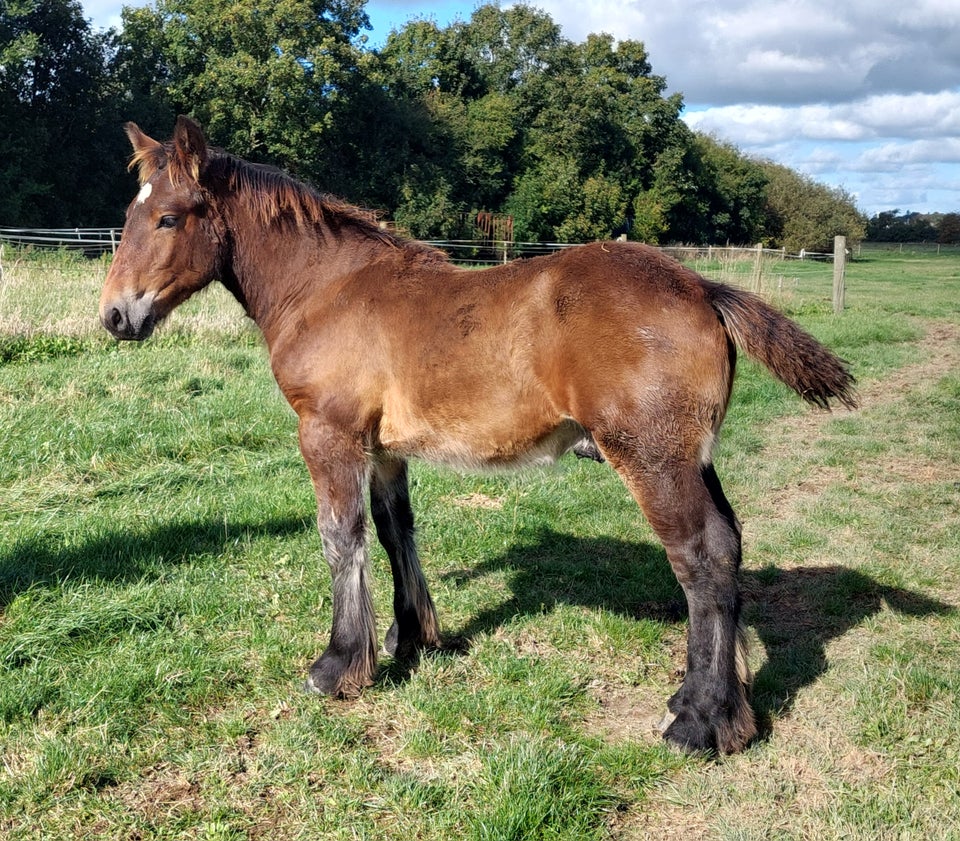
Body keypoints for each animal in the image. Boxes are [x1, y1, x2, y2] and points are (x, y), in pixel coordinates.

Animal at [101, 115, 860, 752]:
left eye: (168, 217)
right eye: (129, 214)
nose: (114, 316)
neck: (326, 290)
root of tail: (702, 287)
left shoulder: (328, 434)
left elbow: (340, 539)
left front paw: (339, 665)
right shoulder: (384, 449)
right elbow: (394, 530)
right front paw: (413, 640)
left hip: (653, 460)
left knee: (702, 556)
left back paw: (699, 721)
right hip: (692, 459)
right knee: (729, 545)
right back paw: (711, 705)